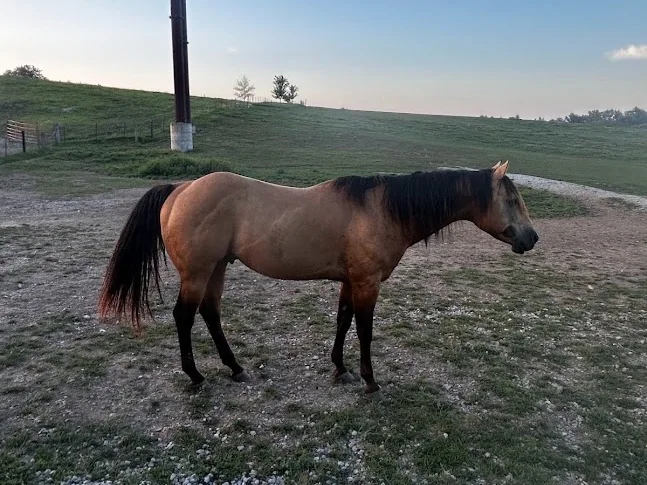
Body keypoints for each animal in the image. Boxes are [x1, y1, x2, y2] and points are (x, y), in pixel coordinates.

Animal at [98, 160, 538, 395]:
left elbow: (342, 321)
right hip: (198, 272)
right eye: (511, 199)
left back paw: (235, 367)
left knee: (210, 313)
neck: (381, 210)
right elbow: (364, 331)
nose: (532, 238)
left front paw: (339, 367)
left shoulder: (350, 281)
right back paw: (195, 374)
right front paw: (369, 380)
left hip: (218, 268)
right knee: (184, 317)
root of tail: (180, 189)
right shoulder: (367, 283)